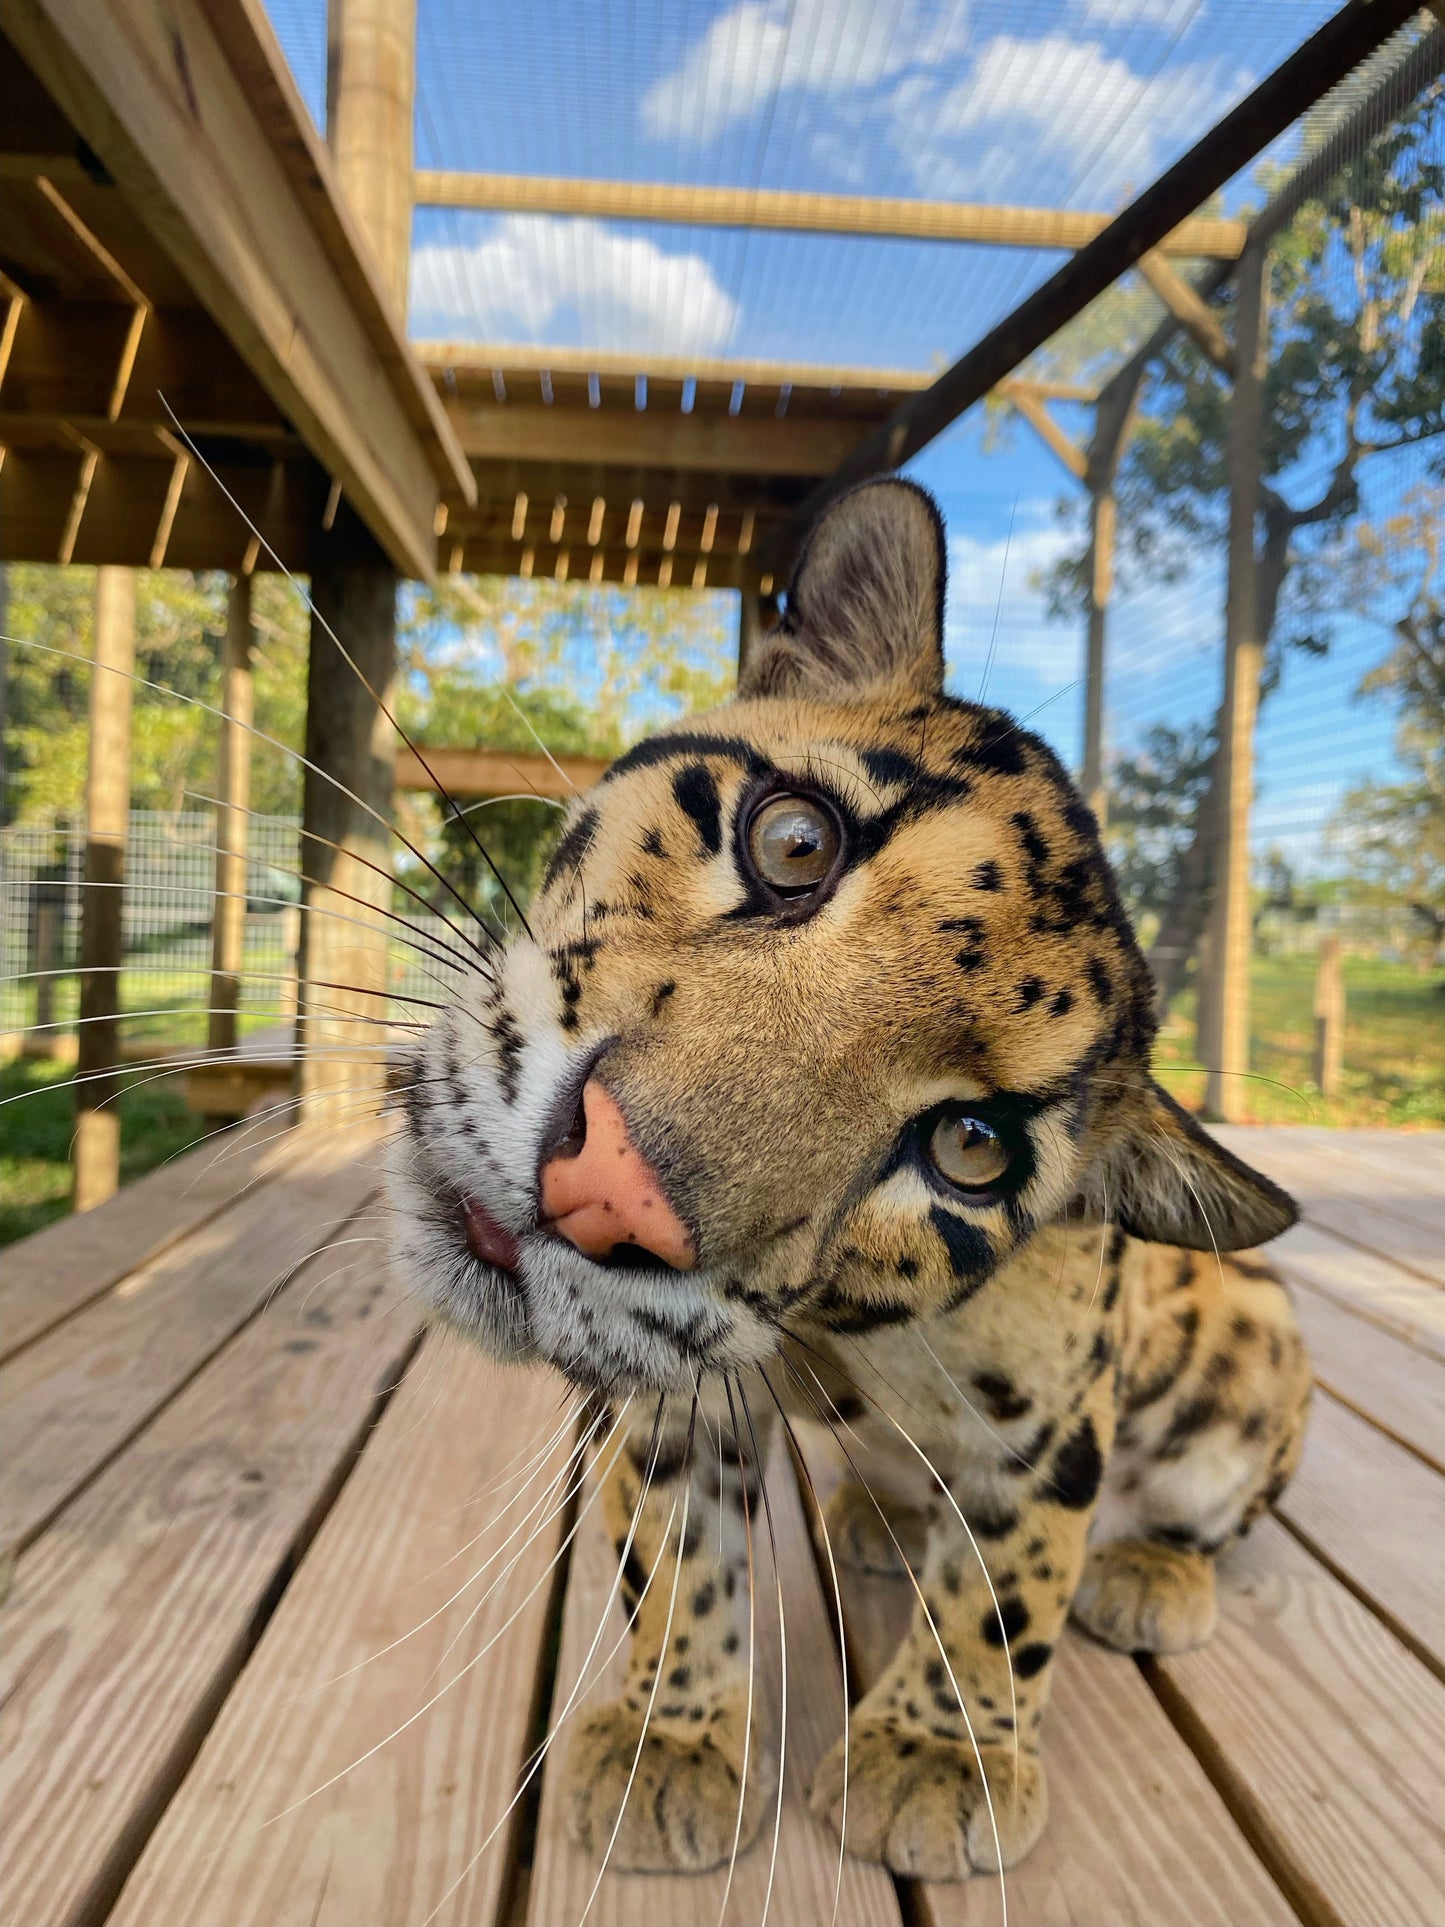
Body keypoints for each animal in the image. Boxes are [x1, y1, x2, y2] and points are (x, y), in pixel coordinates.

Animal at [387, 477, 1311, 1884]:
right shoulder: (676, 1390)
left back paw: (1149, 1573)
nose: (605, 1191)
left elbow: (1005, 1595)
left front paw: (935, 1755)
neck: (824, 1330)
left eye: (970, 1147)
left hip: (1254, 1351)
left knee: (1204, 1512)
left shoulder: (1049, 1425)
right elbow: (676, 1551)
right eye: (792, 841)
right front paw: (670, 1733)